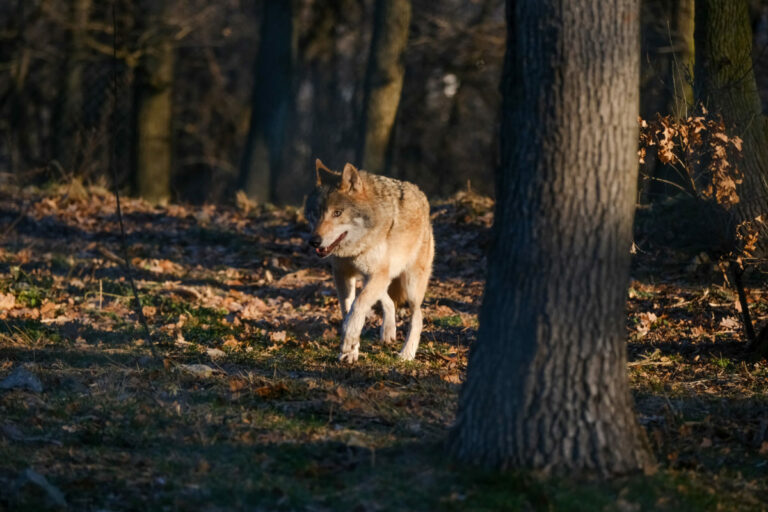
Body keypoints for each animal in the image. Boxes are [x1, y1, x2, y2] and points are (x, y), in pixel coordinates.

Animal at [308, 158, 438, 362]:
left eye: (337, 213)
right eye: (317, 213)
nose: (314, 241)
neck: (356, 247)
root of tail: (421, 195)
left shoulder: (378, 274)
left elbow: (357, 306)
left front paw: (349, 340)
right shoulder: (342, 274)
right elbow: (348, 310)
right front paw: (351, 351)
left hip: (410, 285)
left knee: (418, 316)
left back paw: (407, 353)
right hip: (375, 277)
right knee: (388, 300)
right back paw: (388, 332)